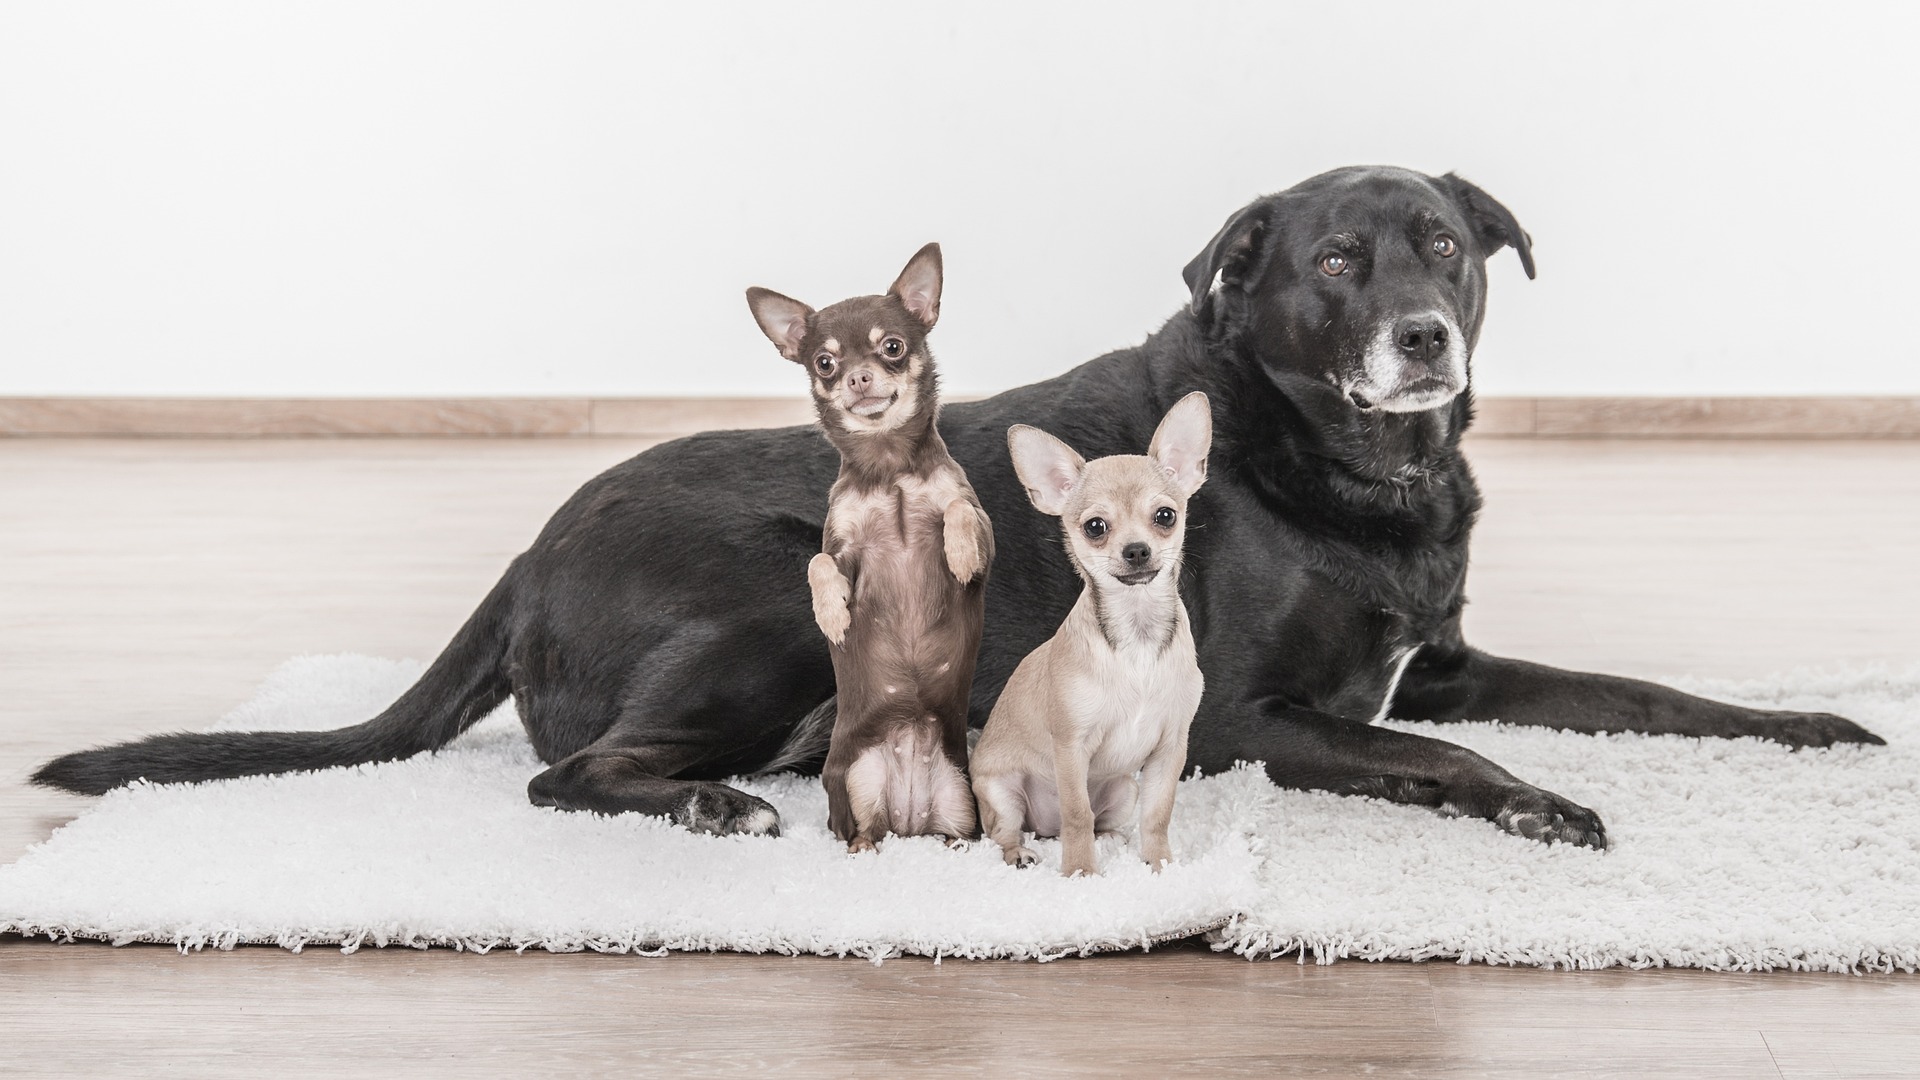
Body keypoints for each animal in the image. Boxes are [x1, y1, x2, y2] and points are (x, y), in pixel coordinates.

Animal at [37, 168, 1881, 845]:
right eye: (1335, 264)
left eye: (1443, 245)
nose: (1424, 333)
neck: (1355, 472)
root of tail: (522, 554)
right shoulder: (1253, 720)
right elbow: (1442, 757)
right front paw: (1543, 808)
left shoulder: (1453, 658)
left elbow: (1651, 696)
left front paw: (1817, 731)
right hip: (787, 609)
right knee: (570, 773)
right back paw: (708, 805)